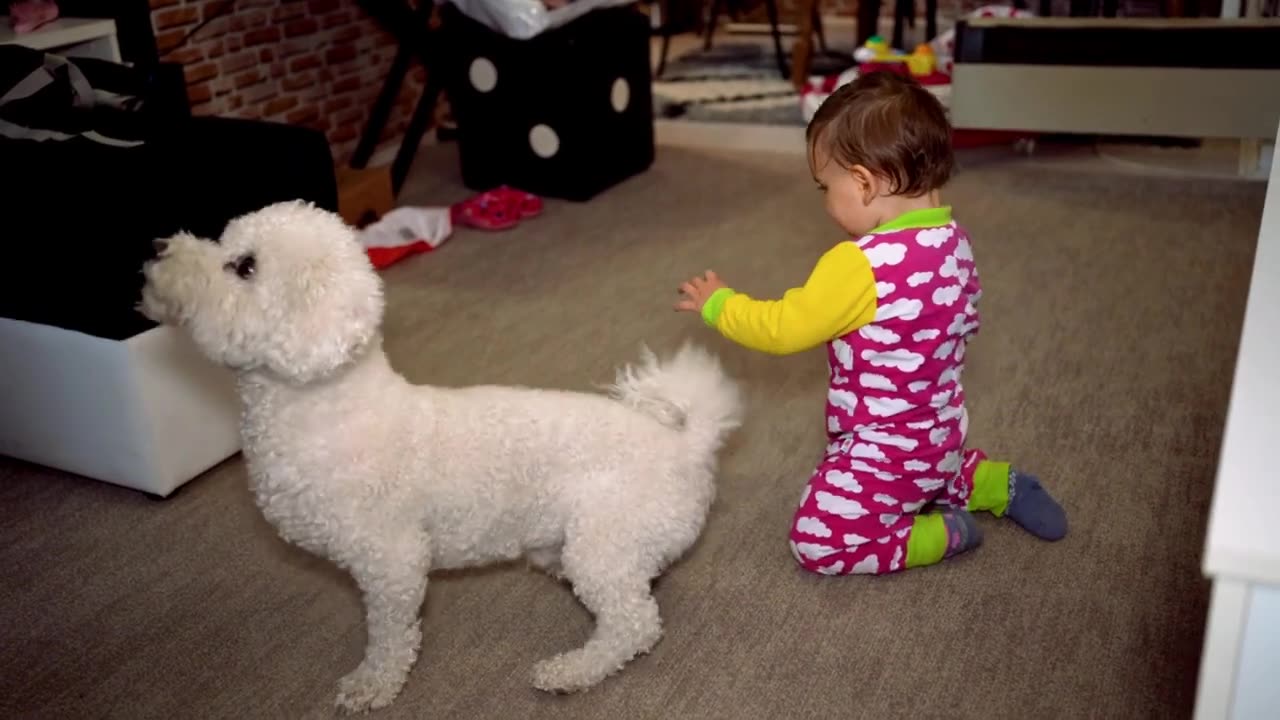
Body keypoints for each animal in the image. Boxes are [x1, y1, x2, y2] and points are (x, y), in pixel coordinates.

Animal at [138, 199, 742, 707]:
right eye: (225, 240)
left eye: (243, 267)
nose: (158, 247)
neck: (325, 405)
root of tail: (688, 441)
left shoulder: (392, 562)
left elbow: (390, 638)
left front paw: (373, 685)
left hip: (604, 545)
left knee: (634, 625)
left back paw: (572, 670)